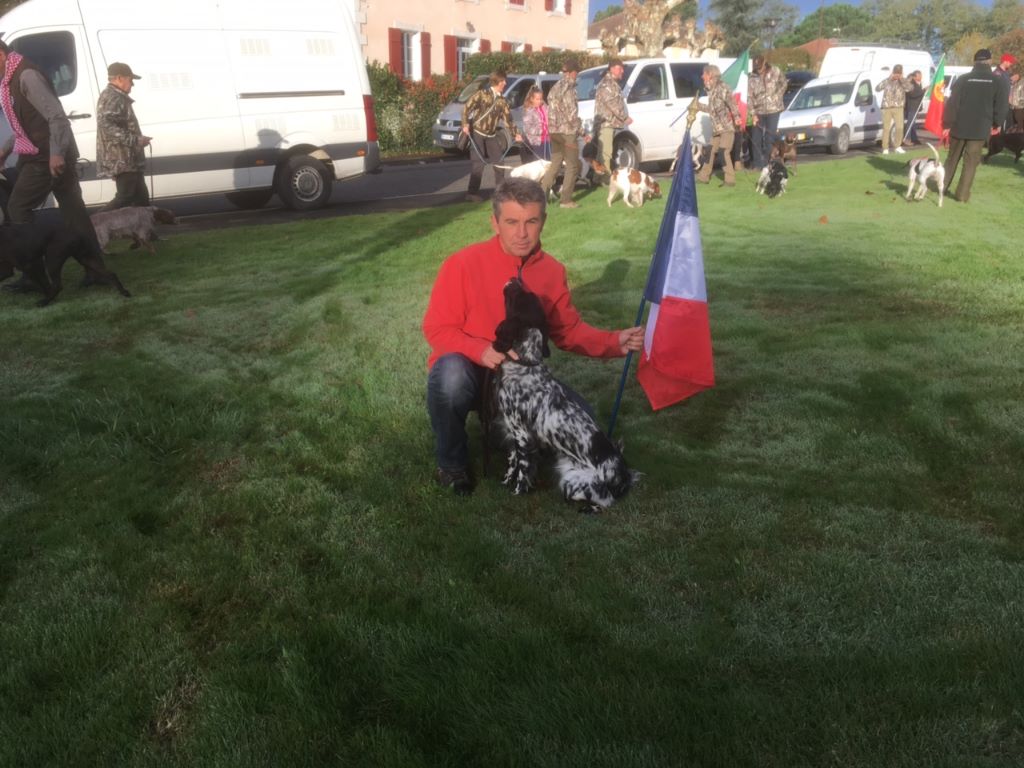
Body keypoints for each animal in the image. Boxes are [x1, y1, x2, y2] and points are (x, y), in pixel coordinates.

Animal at [1, 217, 131, 307]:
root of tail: (77, 232)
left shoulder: (29, 265)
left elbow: (43, 283)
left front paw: (46, 295)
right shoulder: (7, 270)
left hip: (52, 259)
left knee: (58, 285)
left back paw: (44, 302)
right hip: (85, 258)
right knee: (111, 274)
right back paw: (123, 292)